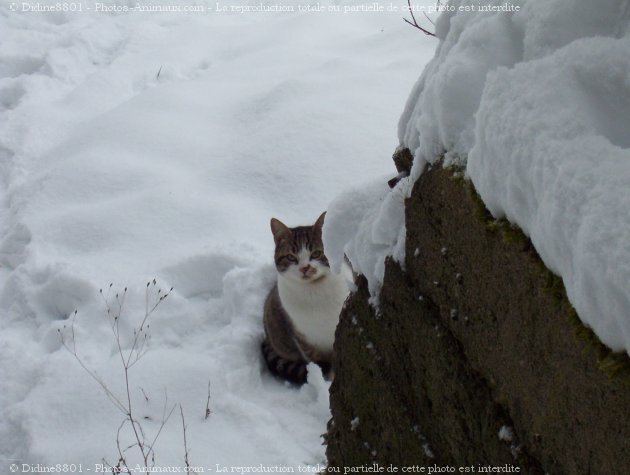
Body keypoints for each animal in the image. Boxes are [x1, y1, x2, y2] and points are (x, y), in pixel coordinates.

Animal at [260, 212, 354, 384]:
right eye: (291, 257)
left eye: (316, 253)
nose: (305, 268)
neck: (313, 291)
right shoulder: (303, 337)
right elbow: (317, 363)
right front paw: (324, 381)